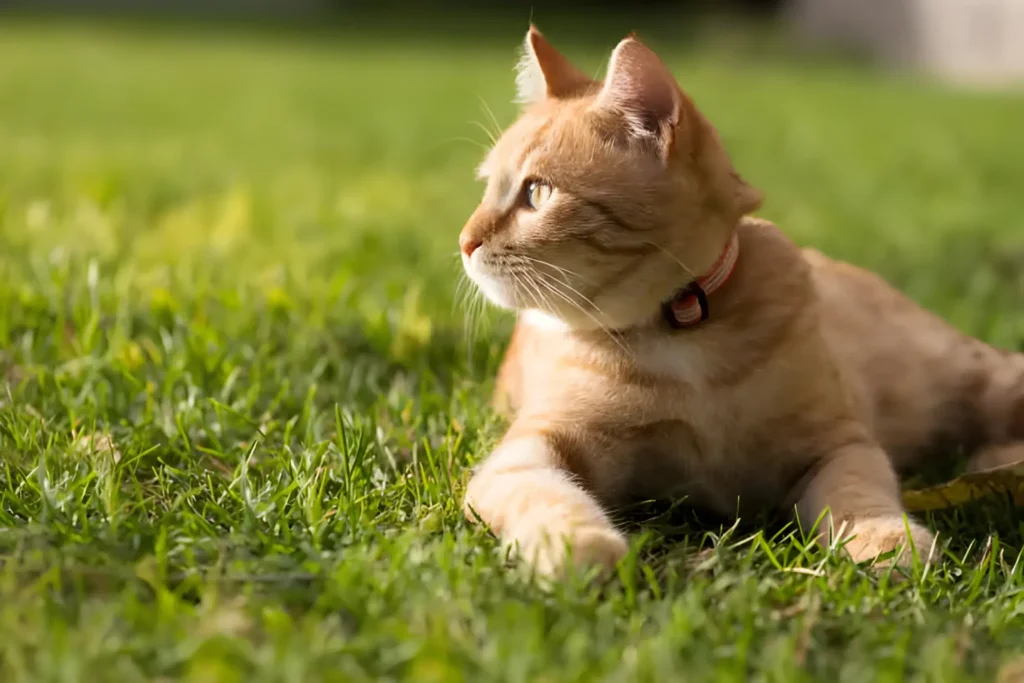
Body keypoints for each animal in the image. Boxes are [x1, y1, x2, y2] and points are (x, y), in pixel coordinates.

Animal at [458, 28, 1024, 581]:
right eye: (487, 189)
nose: (464, 241)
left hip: (968, 374)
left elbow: (858, 494)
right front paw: (576, 546)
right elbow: (542, 495)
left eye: (537, 193)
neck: (683, 328)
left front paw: (886, 542)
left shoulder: (840, 444)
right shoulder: (525, 456)